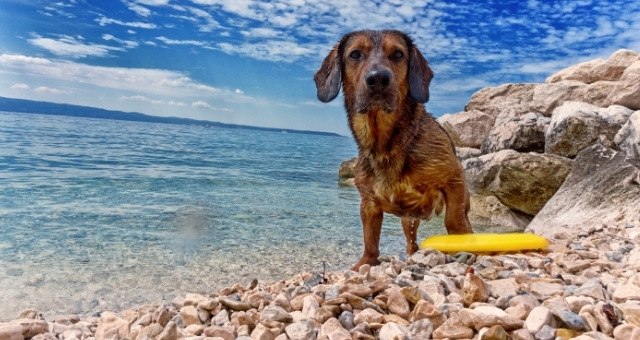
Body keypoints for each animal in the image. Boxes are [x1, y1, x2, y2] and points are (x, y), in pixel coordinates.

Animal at [312, 29, 472, 270]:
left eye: (398, 54)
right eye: (355, 54)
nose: (378, 79)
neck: (388, 145)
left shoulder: (454, 180)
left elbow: (454, 221)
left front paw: (461, 246)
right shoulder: (369, 204)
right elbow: (370, 239)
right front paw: (365, 264)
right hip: (409, 221)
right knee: (411, 243)